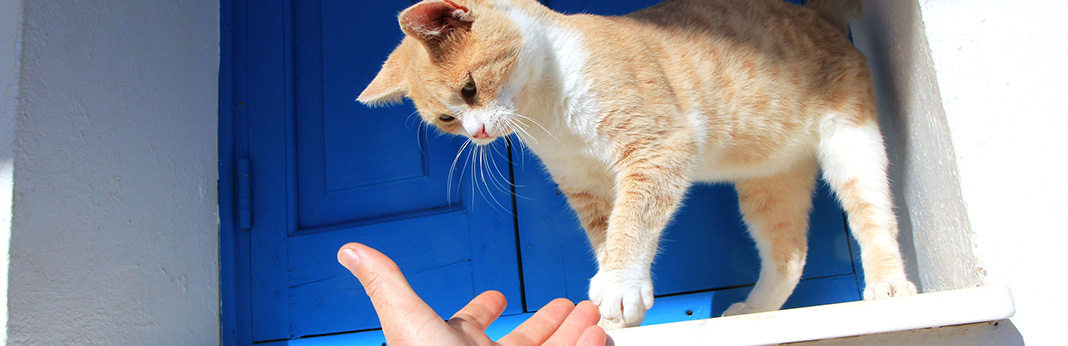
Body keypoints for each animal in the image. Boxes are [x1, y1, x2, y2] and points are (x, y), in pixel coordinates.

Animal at [358, 0, 918, 328]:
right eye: (446, 119)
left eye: (471, 88)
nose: (476, 134)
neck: (550, 116)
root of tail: (815, 14)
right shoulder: (584, 187)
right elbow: (607, 233)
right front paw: (620, 296)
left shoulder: (657, 149)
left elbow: (634, 222)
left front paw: (619, 286)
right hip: (767, 187)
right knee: (790, 254)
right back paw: (754, 313)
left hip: (853, 148)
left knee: (874, 220)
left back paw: (889, 287)